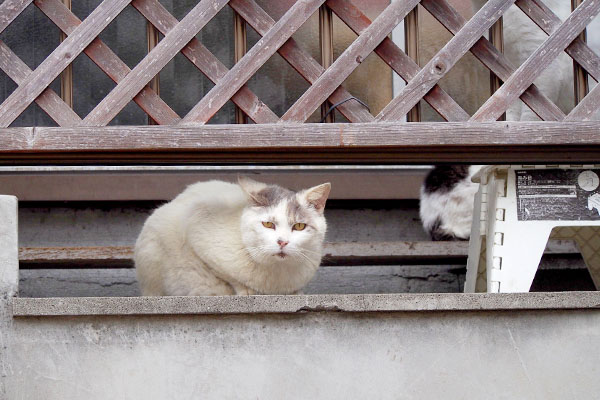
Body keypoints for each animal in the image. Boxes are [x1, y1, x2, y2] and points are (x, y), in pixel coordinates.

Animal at [134, 177, 330, 296]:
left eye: (299, 226)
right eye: (268, 224)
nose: (282, 242)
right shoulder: (196, 223)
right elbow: (229, 277)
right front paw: (246, 292)